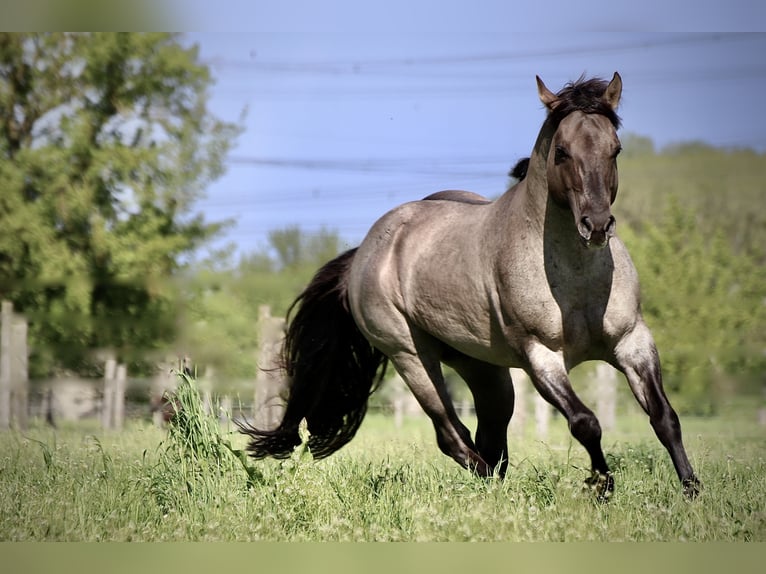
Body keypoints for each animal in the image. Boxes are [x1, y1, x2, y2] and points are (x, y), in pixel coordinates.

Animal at [238, 73, 701, 499]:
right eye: (562, 151)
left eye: (615, 149)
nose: (597, 225)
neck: (576, 278)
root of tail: (369, 248)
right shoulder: (542, 356)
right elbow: (585, 423)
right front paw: (601, 485)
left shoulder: (632, 342)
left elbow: (665, 418)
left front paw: (691, 490)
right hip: (412, 357)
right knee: (453, 435)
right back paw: (492, 491)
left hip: (484, 369)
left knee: (490, 437)